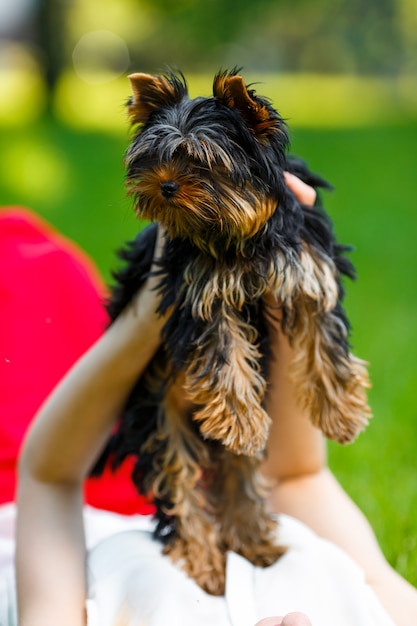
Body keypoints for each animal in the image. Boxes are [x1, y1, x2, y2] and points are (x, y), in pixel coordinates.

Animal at [92, 69, 368, 596]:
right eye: (154, 158)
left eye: (202, 161)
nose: (164, 186)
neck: (237, 235)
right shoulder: (198, 290)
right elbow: (223, 353)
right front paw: (239, 418)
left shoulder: (307, 263)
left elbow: (323, 335)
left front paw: (339, 410)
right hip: (156, 417)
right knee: (178, 484)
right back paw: (206, 564)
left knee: (240, 473)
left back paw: (256, 546)